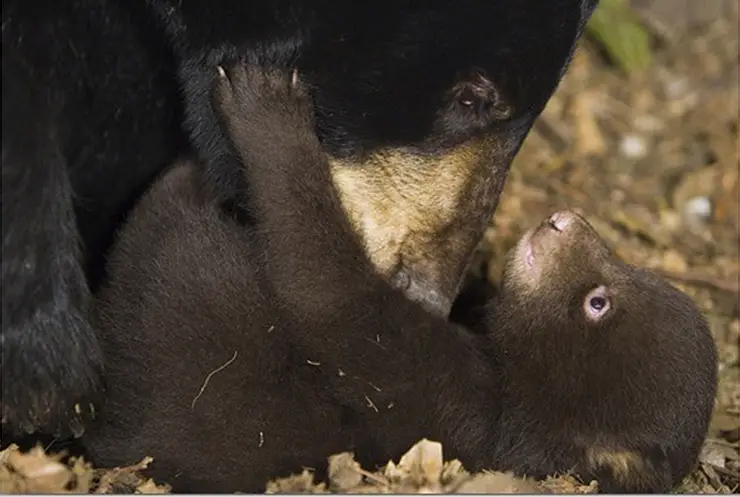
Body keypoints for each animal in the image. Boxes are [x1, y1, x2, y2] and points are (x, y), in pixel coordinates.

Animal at [86, 60, 716, 490]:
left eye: (597, 302)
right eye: (626, 265)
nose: (563, 220)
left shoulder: (446, 395)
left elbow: (331, 296)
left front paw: (265, 111)